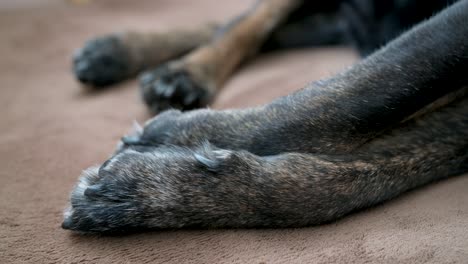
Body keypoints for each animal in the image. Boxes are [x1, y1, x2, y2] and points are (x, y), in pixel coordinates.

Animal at [63, 0, 468, 232]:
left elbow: (339, 183)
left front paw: (152, 187)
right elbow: (358, 96)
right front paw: (169, 139)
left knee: (268, 29)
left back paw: (122, 55)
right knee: (250, 22)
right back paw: (172, 66)